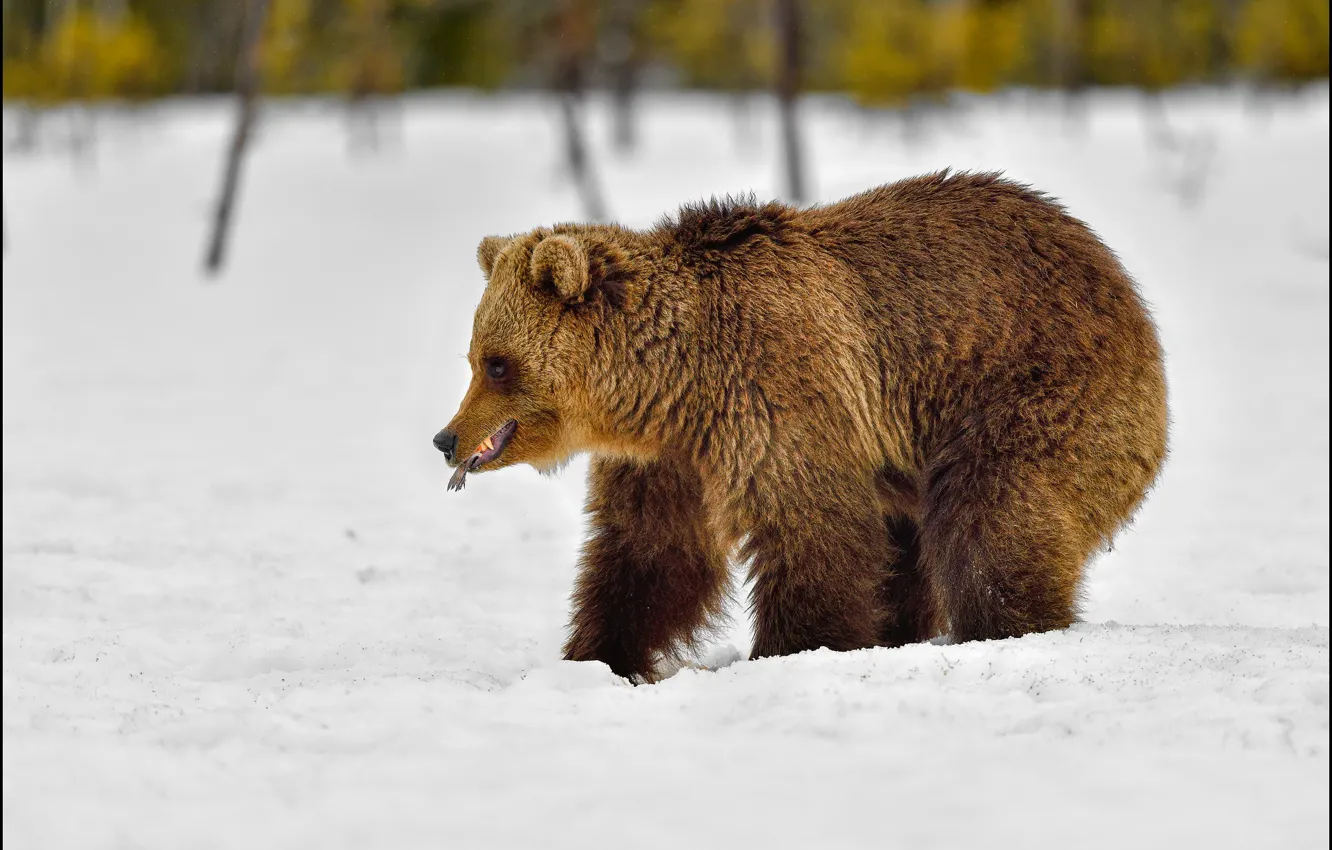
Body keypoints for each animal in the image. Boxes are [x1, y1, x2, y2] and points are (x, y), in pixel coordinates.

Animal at [435, 170, 1169, 683]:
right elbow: (651, 556)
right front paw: (597, 657)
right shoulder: (671, 459)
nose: (446, 438)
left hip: (1031, 389)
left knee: (993, 519)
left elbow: (810, 532)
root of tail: (1123, 284)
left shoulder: (777, 394)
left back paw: (1005, 626)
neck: (671, 381)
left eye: (497, 363)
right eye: (472, 356)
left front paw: (795, 647)